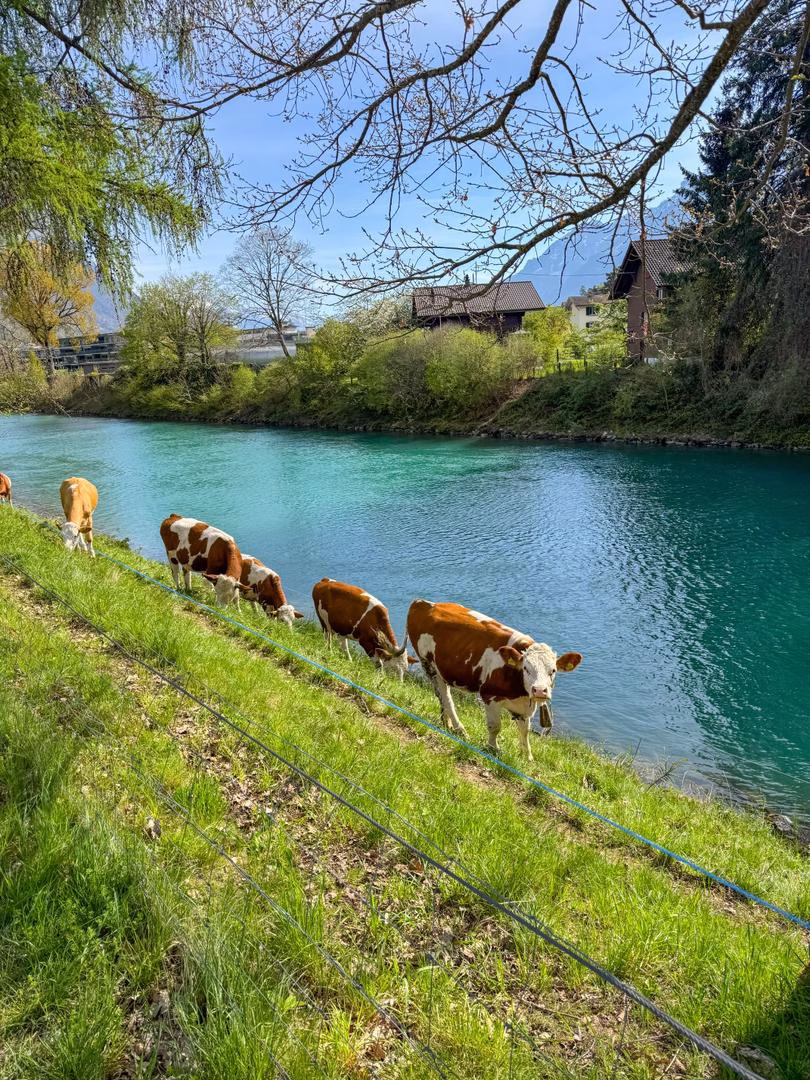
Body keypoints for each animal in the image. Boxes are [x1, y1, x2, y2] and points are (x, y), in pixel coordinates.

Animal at [406, 600, 582, 760]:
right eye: (526, 668)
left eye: (553, 671)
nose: (539, 690)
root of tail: (423, 602)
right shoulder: (489, 695)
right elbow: (495, 727)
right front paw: (493, 748)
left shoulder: (524, 707)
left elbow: (524, 731)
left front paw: (527, 757)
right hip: (429, 666)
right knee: (446, 698)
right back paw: (460, 729)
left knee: (442, 697)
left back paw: (446, 723)